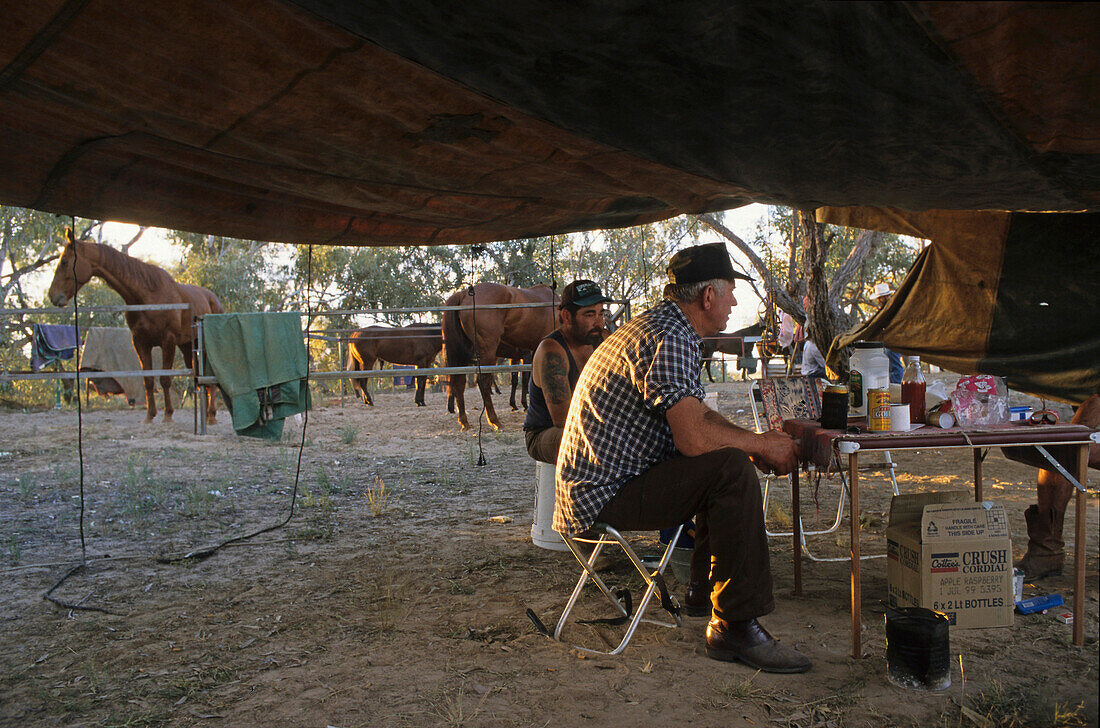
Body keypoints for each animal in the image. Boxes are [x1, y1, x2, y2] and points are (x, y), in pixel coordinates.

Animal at [47, 230, 222, 424]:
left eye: (64, 261)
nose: (52, 296)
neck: (147, 296)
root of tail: (213, 299)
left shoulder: (167, 342)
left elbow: (165, 379)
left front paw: (168, 415)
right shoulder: (141, 343)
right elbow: (148, 380)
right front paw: (149, 416)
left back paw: (212, 416)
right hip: (186, 347)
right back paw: (206, 414)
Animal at [440, 281, 558, 431]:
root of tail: (464, 294)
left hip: (462, 355)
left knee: (459, 384)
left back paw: (464, 422)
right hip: (487, 352)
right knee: (483, 382)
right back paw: (494, 420)